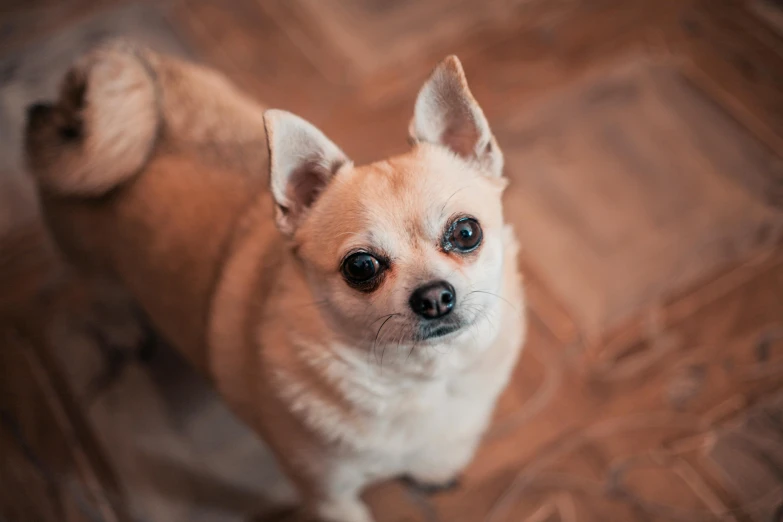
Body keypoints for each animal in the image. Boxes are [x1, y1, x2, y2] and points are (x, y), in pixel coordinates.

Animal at [24, 41, 528, 520]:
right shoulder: (329, 496)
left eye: (466, 233)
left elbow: (441, 452)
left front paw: (435, 471)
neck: (421, 378)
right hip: (91, 264)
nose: (435, 296)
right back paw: (123, 329)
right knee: (100, 295)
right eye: (361, 268)